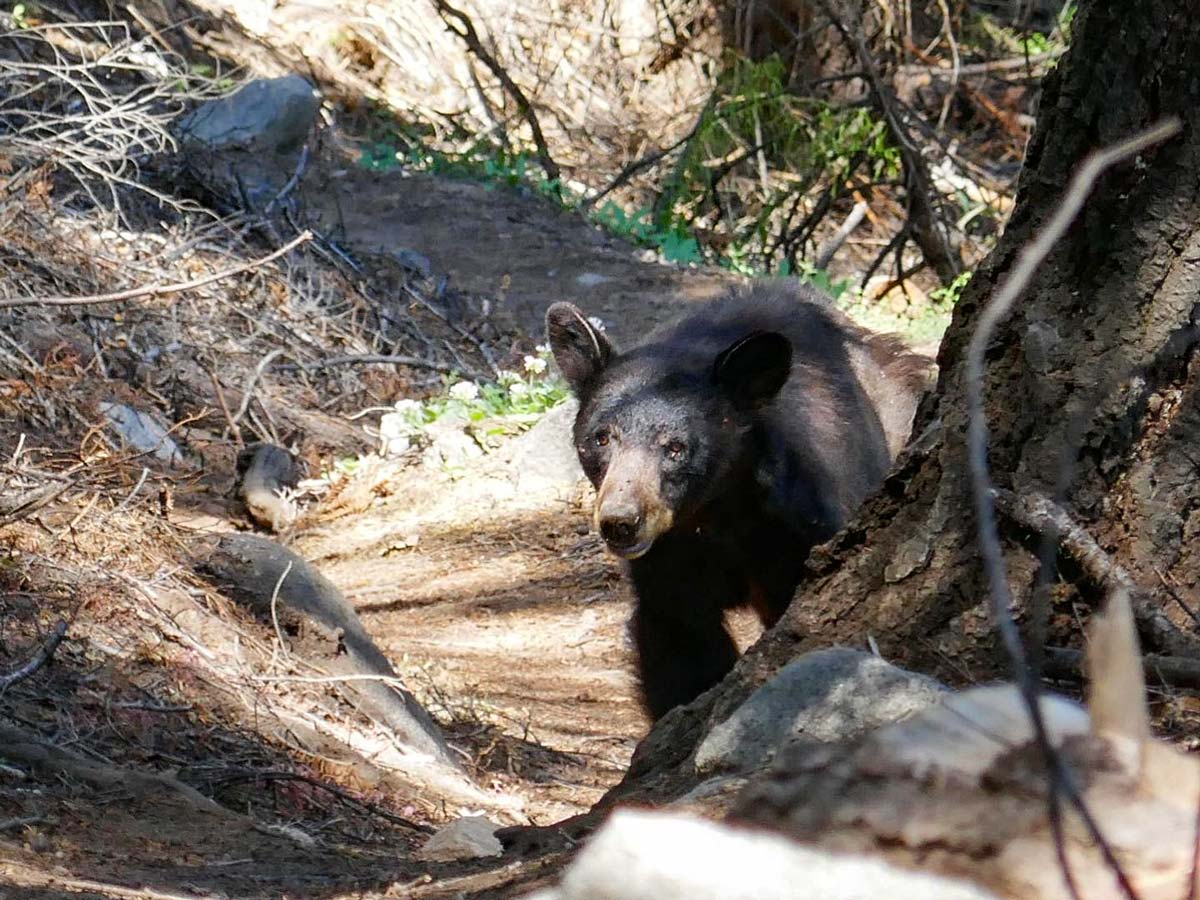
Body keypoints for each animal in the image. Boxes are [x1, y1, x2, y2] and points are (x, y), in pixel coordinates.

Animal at [549, 285, 931, 724]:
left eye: (676, 447)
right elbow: (680, 643)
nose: (622, 521)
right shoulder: (668, 560)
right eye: (601, 438)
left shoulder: (798, 520)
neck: (718, 512)